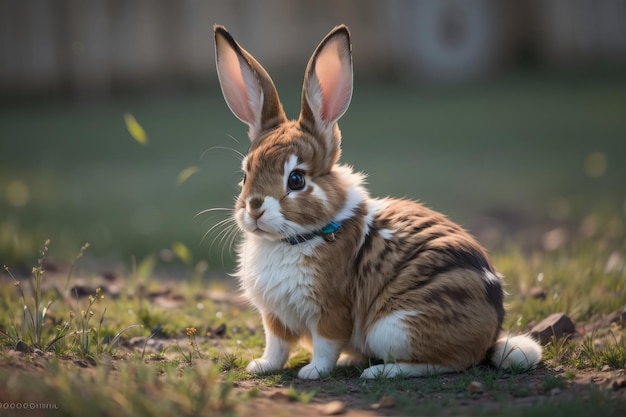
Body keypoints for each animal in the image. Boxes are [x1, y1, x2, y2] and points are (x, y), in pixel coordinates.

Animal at [212, 23, 540, 380]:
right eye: (245, 173)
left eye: (296, 179)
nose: (254, 208)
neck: (295, 239)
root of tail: (490, 337)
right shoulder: (274, 317)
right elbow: (277, 345)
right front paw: (261, 366)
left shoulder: (329, 310)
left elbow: (325, 345)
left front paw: (313, 372)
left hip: (395, 327)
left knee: (449, 362)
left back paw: (379, 372)